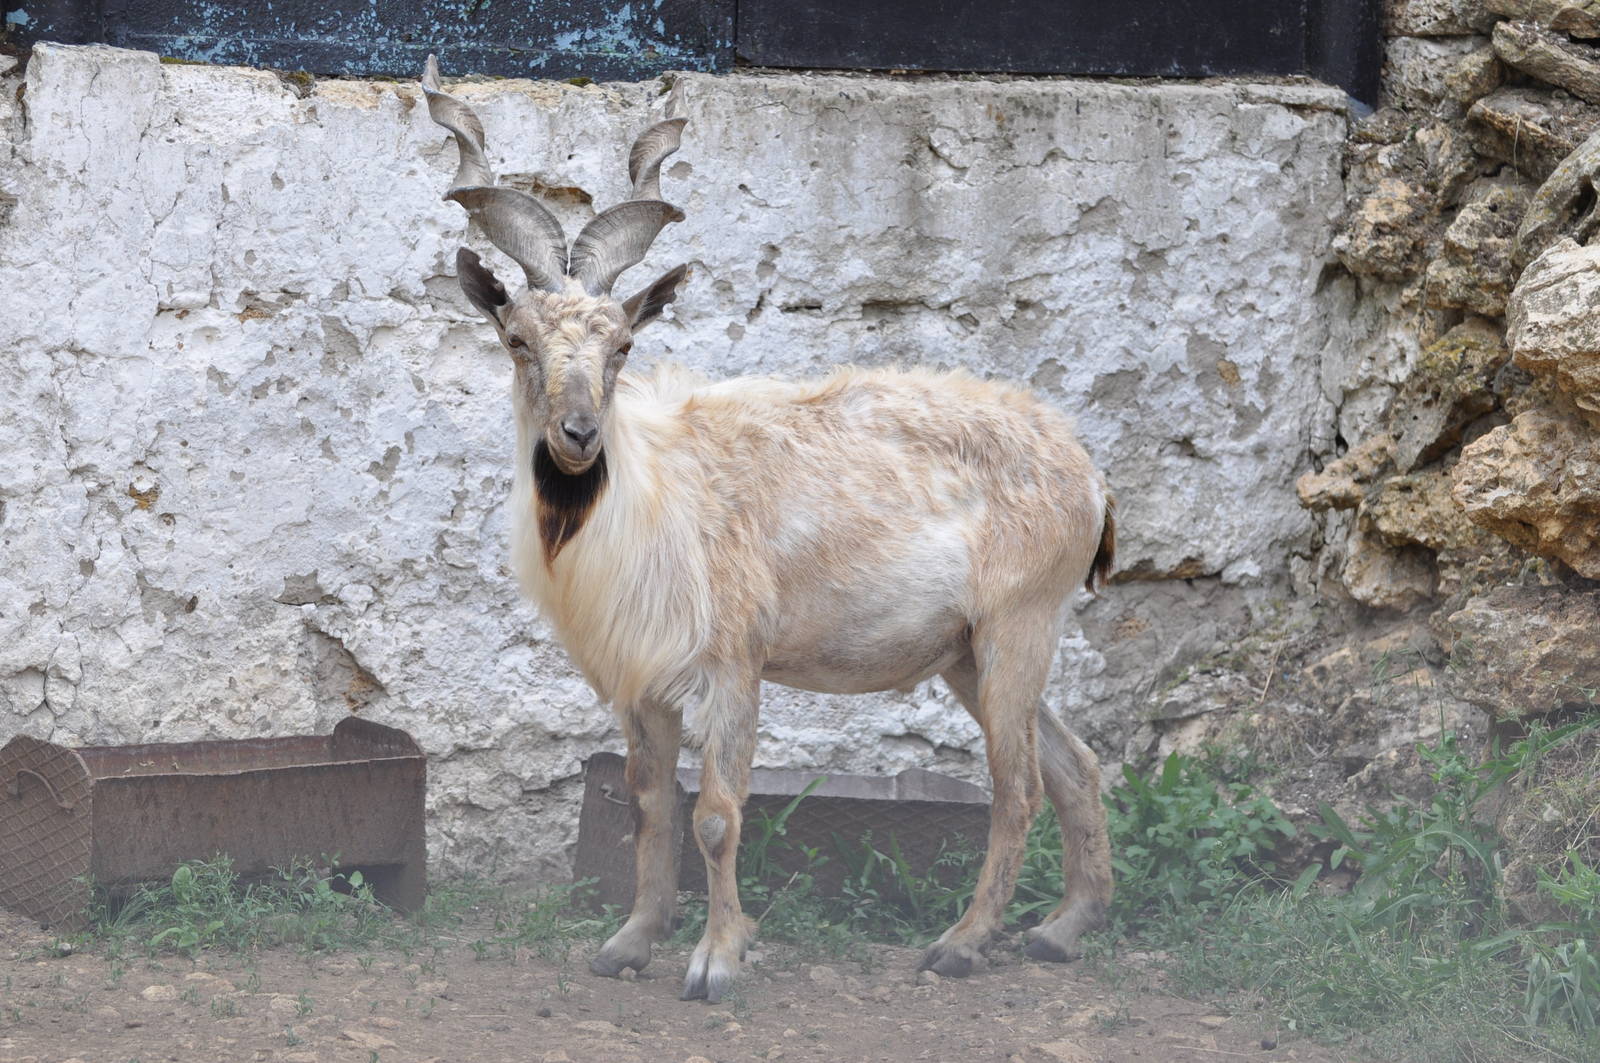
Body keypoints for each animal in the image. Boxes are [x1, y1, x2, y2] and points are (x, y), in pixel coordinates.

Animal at [419, 58, 1116, 1003]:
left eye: (623, 345)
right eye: (517, 338)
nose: (578, 434)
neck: (654, 494)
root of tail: (1086, 468)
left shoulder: (732, 663)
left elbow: (716, 814)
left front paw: (716, 960)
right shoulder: (645, 681)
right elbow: (651, 803)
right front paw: (629, 941)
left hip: (1020, 624)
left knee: (1018, 785)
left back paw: (963, 943)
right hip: (971, 651)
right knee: (1075, 764)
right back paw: (1063, 928)